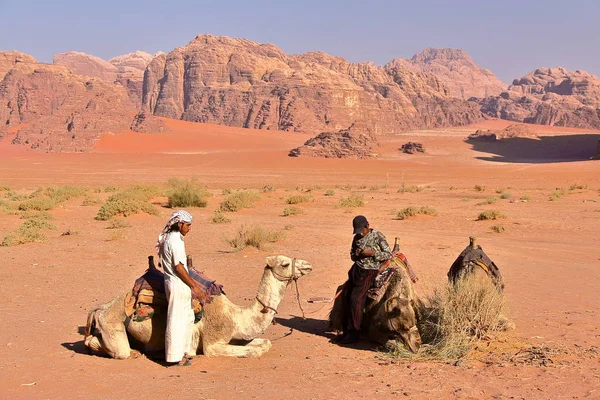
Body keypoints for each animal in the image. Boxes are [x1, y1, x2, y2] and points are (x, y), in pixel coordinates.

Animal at [86, 255, 312, 360]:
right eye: (284, 264)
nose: (308, 265)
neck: (236, 315)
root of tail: (101, 307)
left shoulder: (235, 335)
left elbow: (265, 343)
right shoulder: (214, 342)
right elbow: (253, 352)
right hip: (112, 322)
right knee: (116, 349)